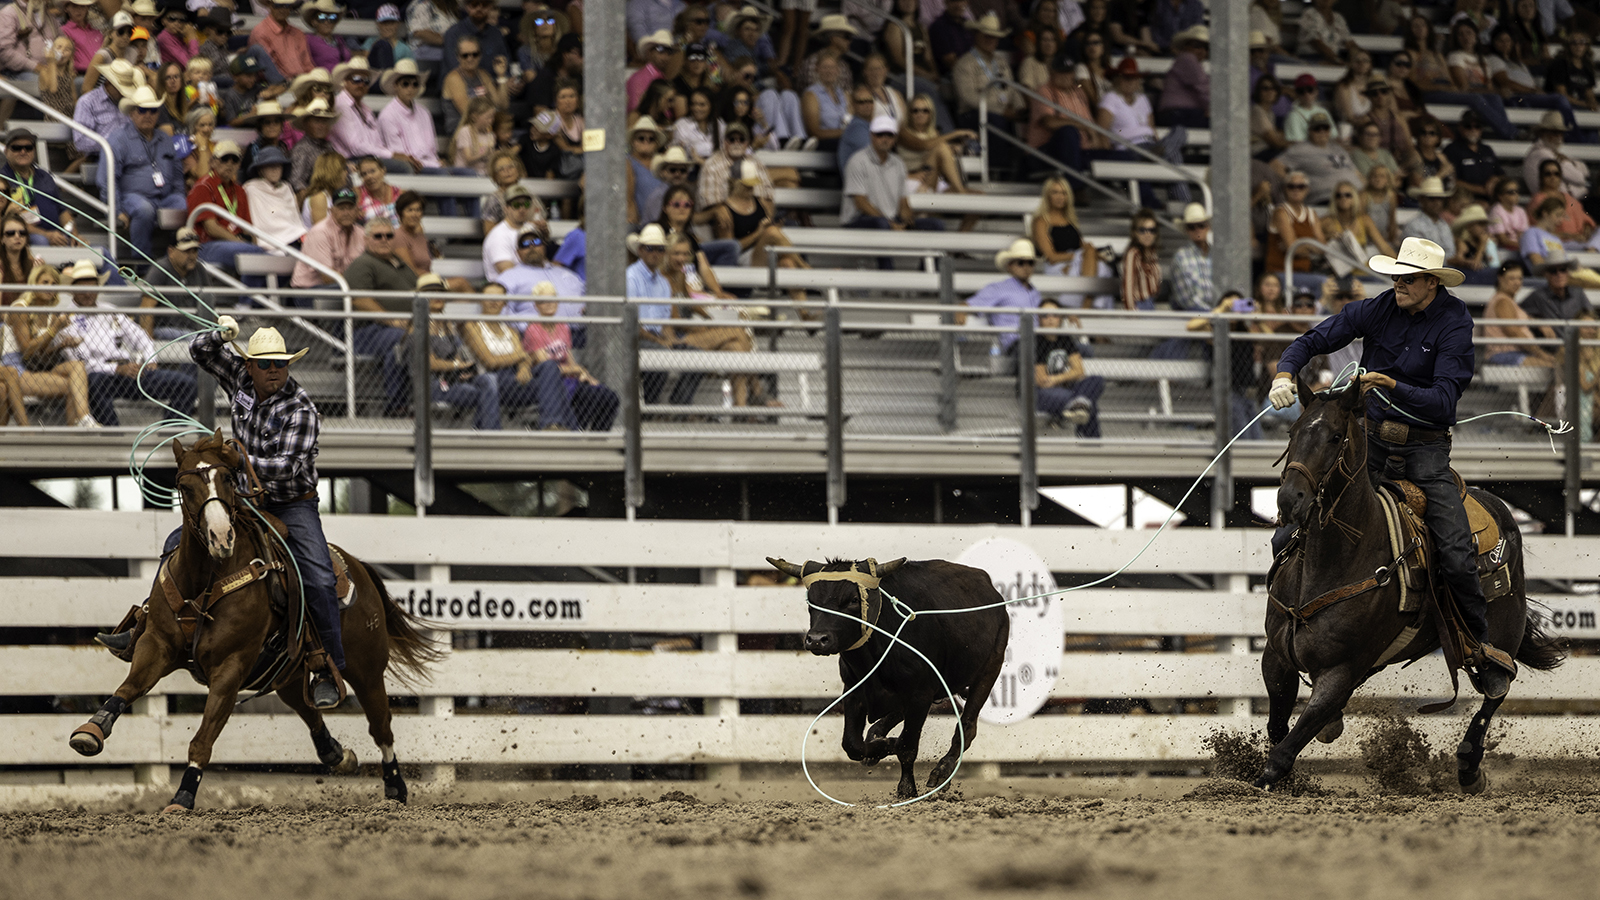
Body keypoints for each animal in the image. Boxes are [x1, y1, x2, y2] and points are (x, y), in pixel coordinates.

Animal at [68, 432, 441, 810]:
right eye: (185, 486)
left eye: (228, 478)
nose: (221, 537)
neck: (205, 581)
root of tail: (358, 568)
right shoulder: (155, 645)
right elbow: (128, 688)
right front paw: (90, 731)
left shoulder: (230, 667)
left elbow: (203, 738)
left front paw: (183, 796)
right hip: (285, 675)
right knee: (309, 711)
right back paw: (338, 755)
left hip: (366, 670)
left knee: (381, 727)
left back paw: (395, 788)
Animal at [1254, 377, 1555, 791]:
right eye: (1293, 432)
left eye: (1335, 437)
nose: (1288, 500)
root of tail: (1497, 509)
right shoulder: (1277, 656)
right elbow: (1277, 726)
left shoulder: (1341, 672)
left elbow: (1282, 753)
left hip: (1505, 629)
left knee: (1498, 686)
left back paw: (1469, 766)